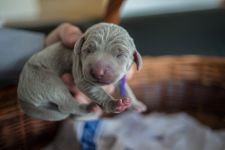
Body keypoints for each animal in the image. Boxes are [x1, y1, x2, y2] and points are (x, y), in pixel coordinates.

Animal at [18, 22, 148, 121]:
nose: (98, 72)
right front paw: (114, 104)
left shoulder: (119, 77)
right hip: (44, 79)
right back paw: (88, 108)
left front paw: (136, 104)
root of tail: (22, 99)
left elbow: (126, 88)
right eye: (88, 50)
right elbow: (97, 91)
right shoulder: (80, 73)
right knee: (66, 104)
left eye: (120, 54)